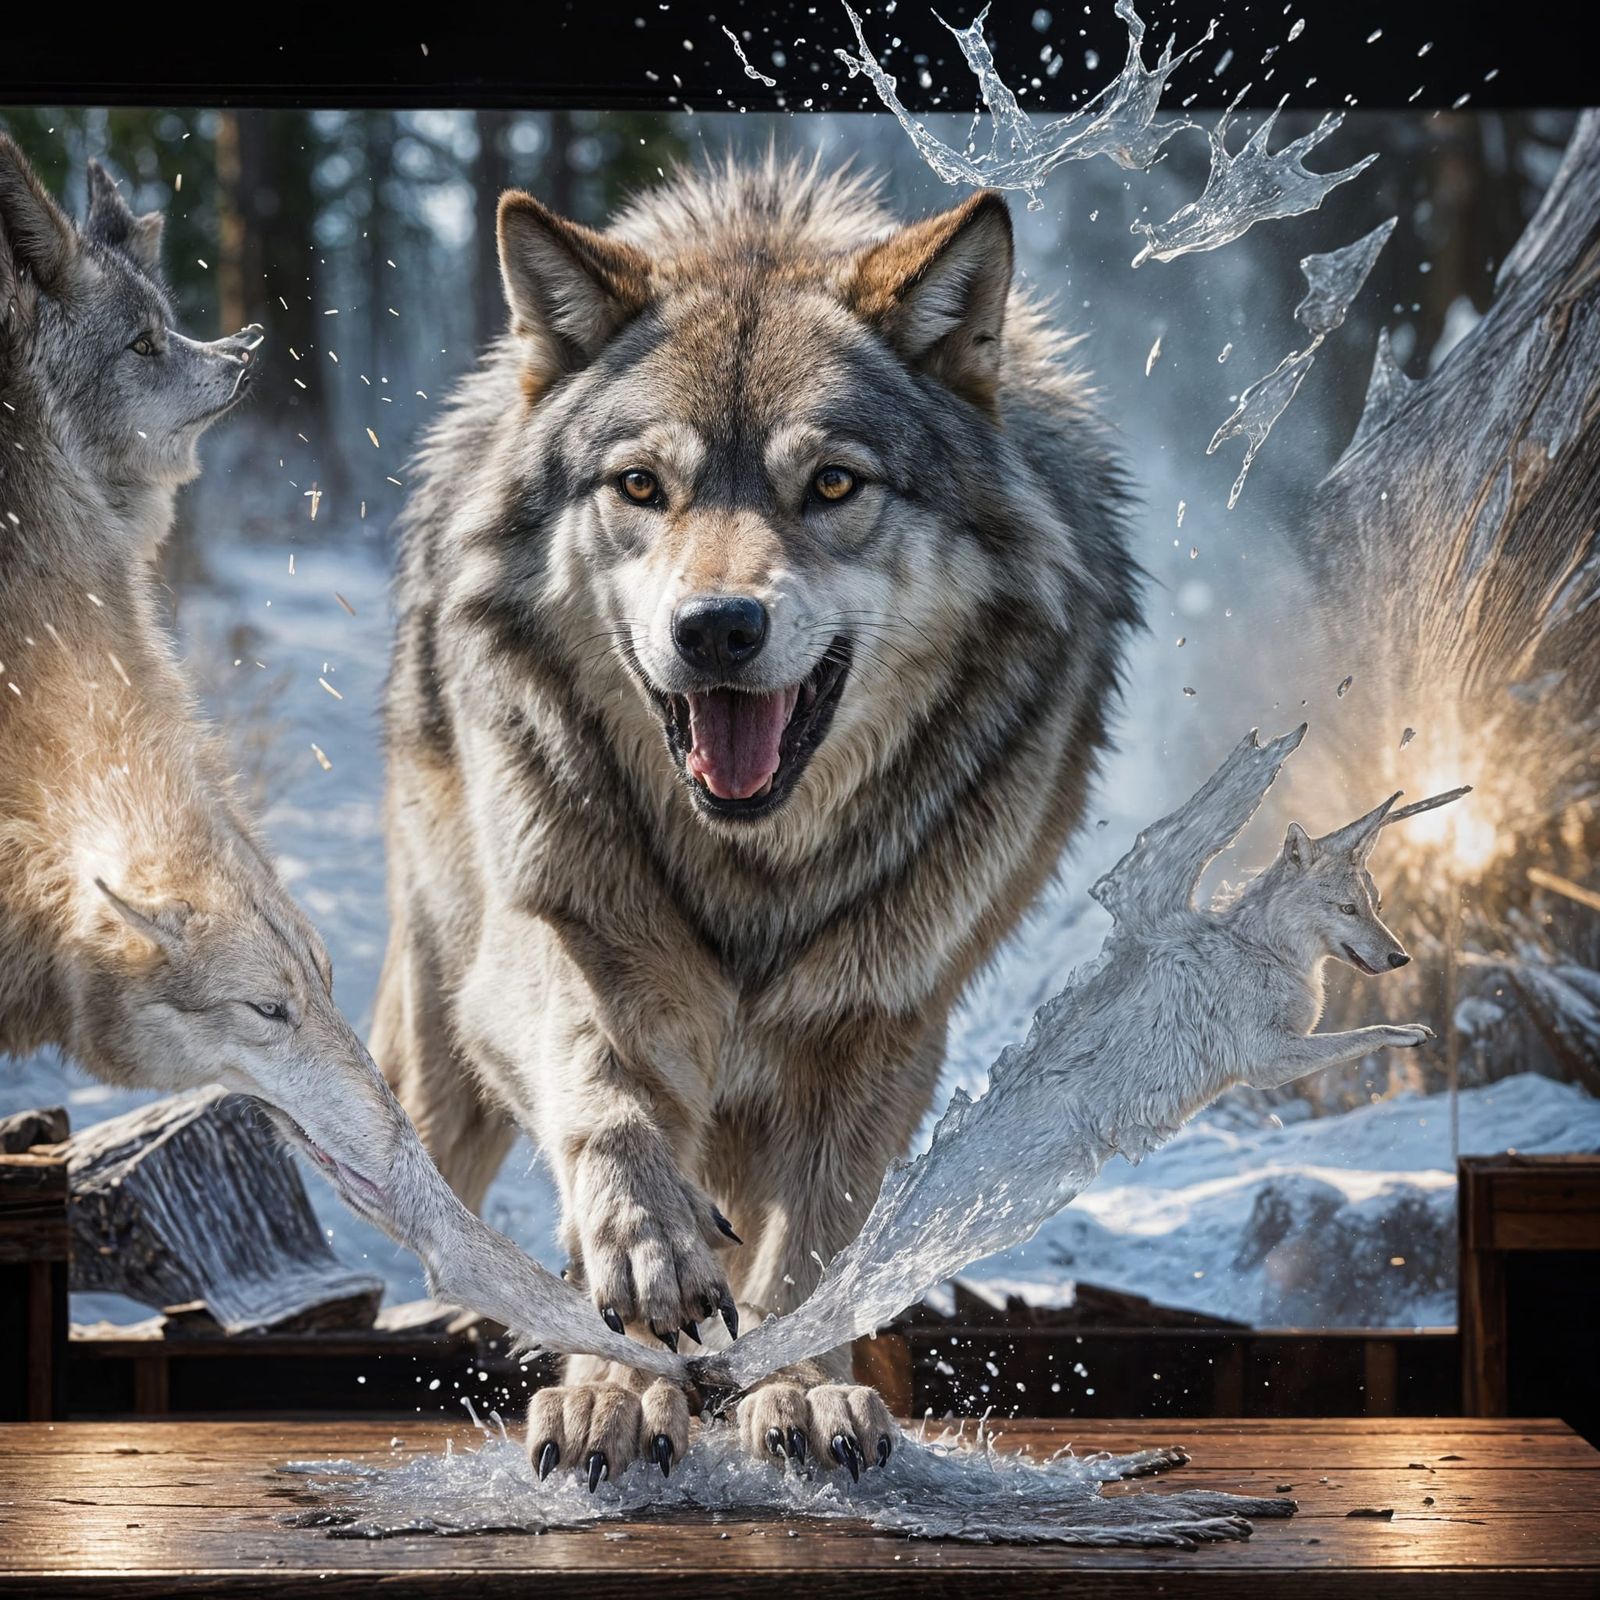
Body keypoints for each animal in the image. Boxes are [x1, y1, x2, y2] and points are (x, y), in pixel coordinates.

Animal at [375, 154, 1141, 1483]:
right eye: (642, 486)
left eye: (830, 483)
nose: (716, 629)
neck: (750, 865)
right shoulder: (564, 941)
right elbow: (607, 1104)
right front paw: (623, 1364)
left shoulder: (881, 1020)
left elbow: (815, 1244)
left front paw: (801, 1391)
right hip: (444, 1036)